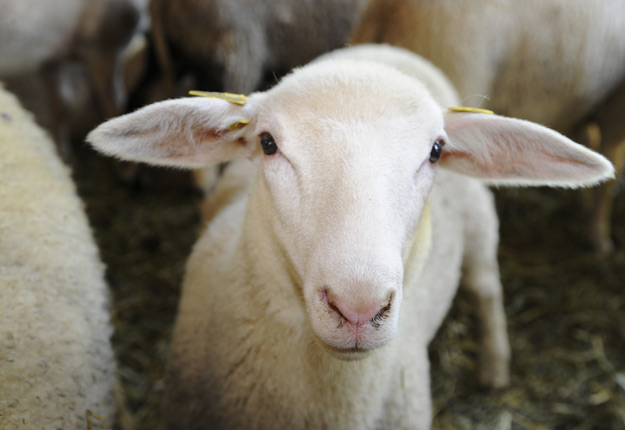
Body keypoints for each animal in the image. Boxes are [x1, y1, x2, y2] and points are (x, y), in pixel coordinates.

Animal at [85, 44, 612, 430]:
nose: (358, 309)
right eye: (267, 143)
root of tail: (382, 47)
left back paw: (495, 366)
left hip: (481, 227)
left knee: (485, 289)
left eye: (436, 151)